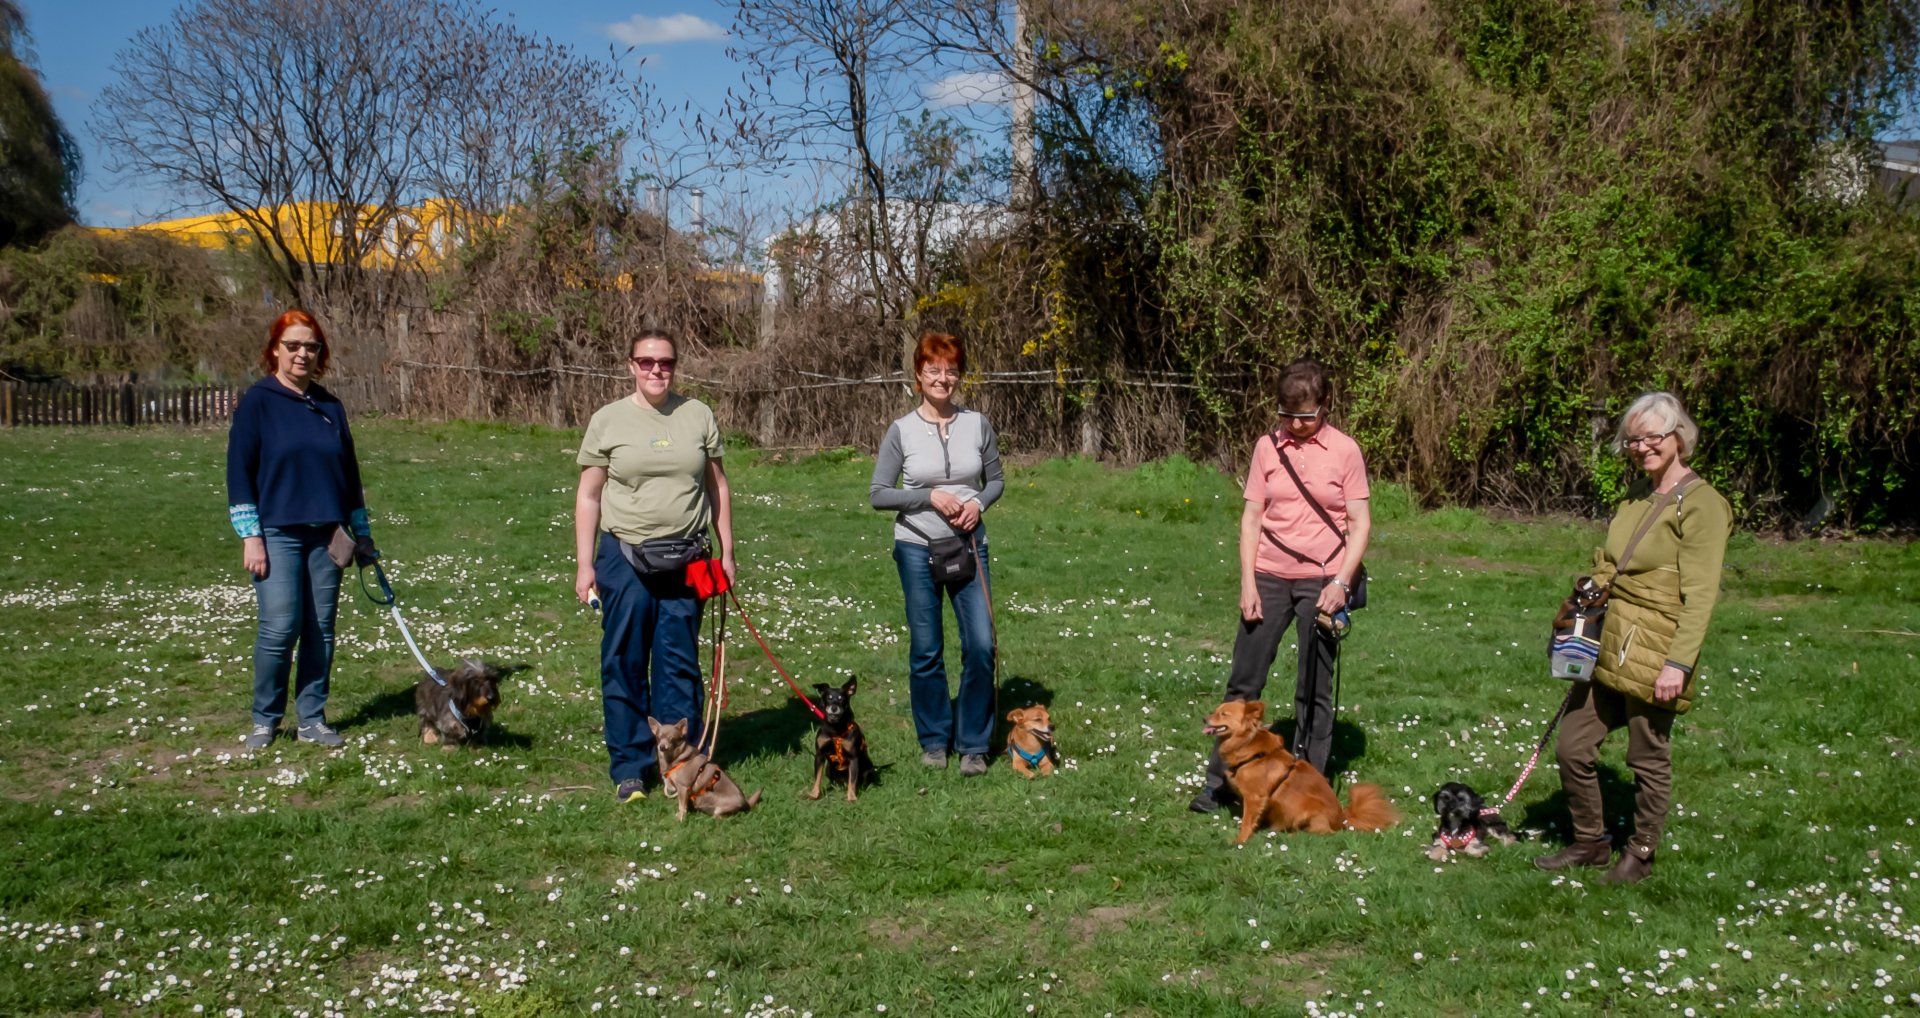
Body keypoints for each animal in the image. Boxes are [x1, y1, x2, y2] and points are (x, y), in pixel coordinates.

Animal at [1202, 700, 1398, 844]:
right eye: (1215, 711)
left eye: (1223, 714)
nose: (1204, 718)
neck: (1247, 746)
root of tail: (1342, 819)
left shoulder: (1254, 797)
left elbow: (1246, 821)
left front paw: (1240, 841)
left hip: (1308, 807)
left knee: (1322, 833)